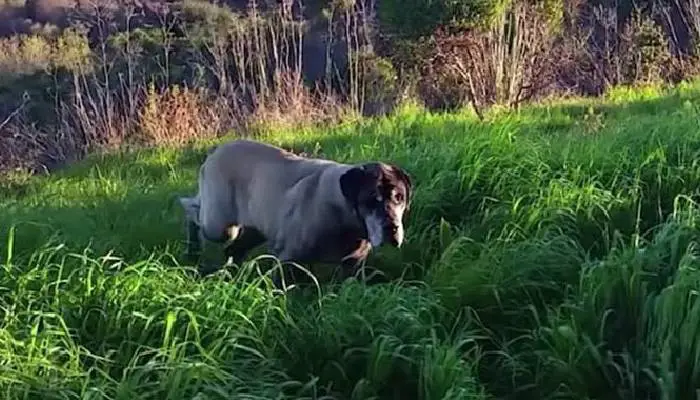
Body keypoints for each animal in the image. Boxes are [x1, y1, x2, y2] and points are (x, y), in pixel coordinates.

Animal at [178, 139, 412, 290]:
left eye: (399, 198)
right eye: (371, 200)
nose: (391, 227)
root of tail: (216, 151)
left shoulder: (352, 265)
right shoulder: (289, 260)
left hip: (253, 229)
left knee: (233, 249)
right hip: (218, 224)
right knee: (192, 210)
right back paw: (193, 248)